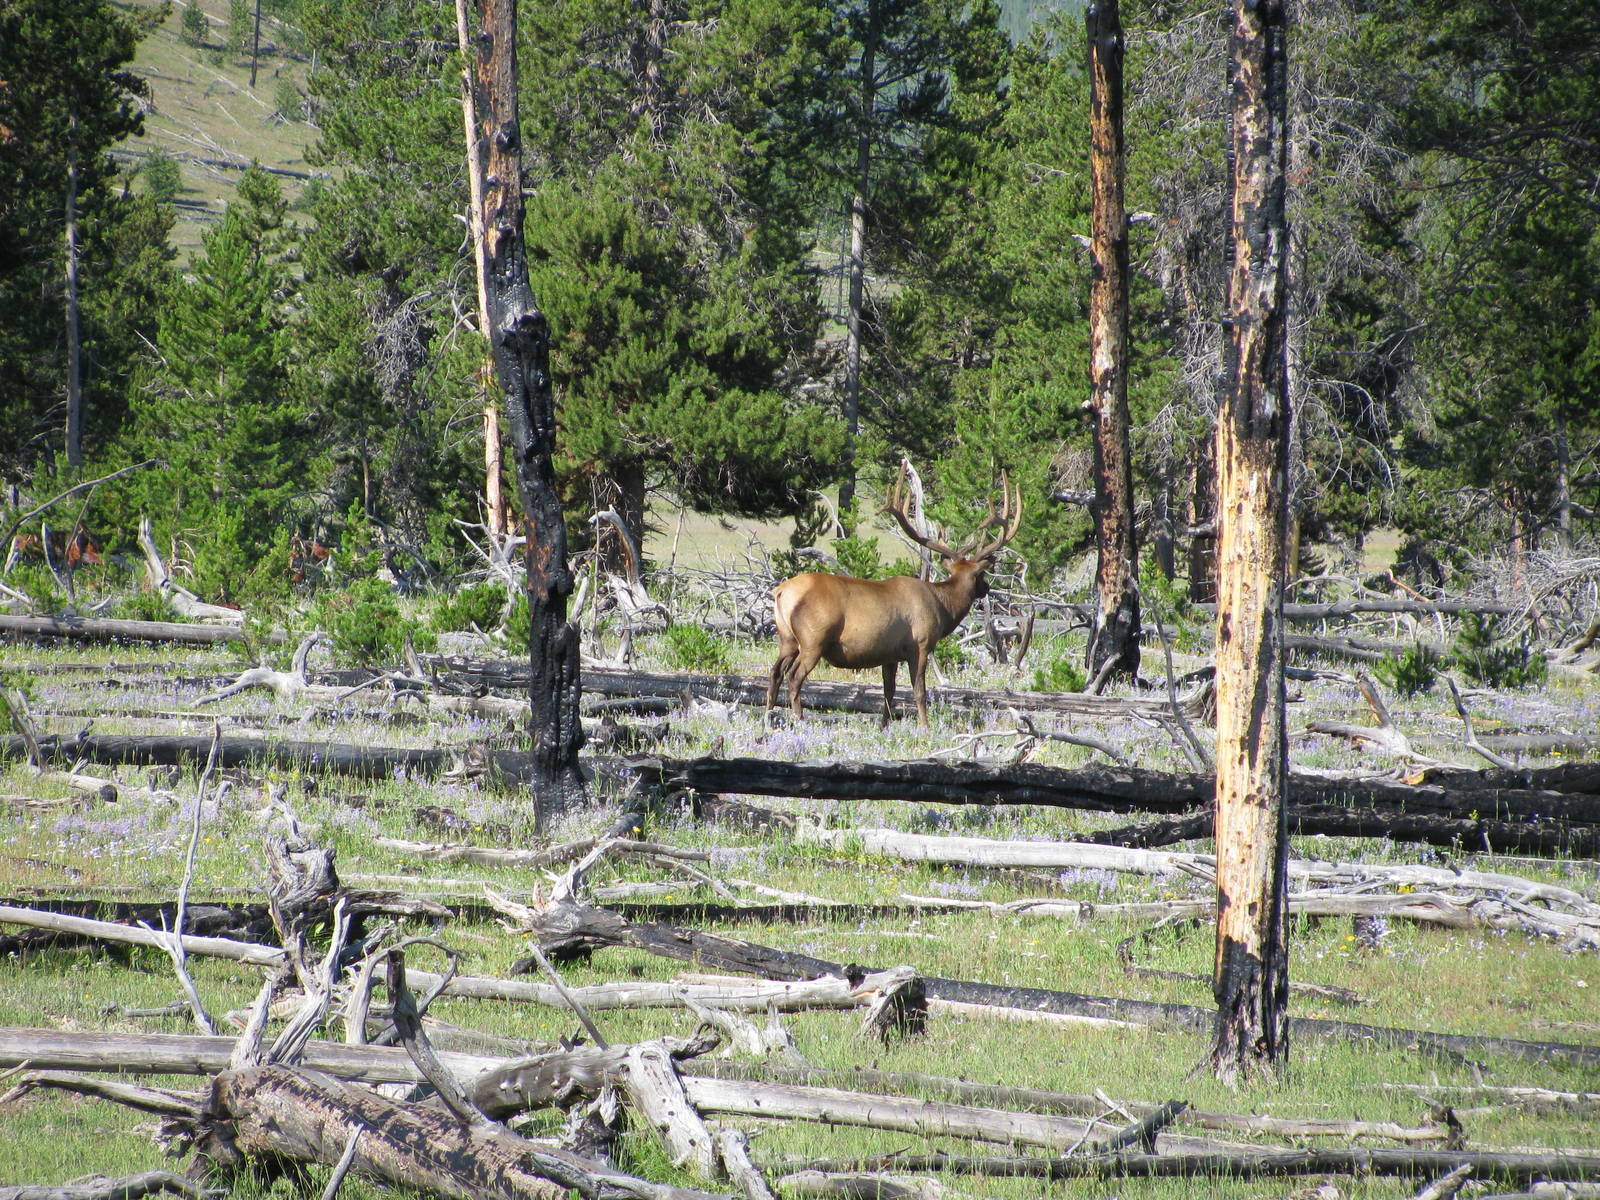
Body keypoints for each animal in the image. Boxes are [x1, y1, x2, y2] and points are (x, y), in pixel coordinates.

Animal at [766, 467, 1022, 727]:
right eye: (981, 575)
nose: (986, 588)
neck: (943, 608)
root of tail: (781, 592)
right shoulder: (919, 645)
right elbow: (919, 690)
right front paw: (925, 726)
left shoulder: (890, 654)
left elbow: (889, 692)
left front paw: (884, 726)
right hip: (813, 639)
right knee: (794, 677)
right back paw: (799, 719)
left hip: (787, 638)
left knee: (775, 673)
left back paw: (768, 718)